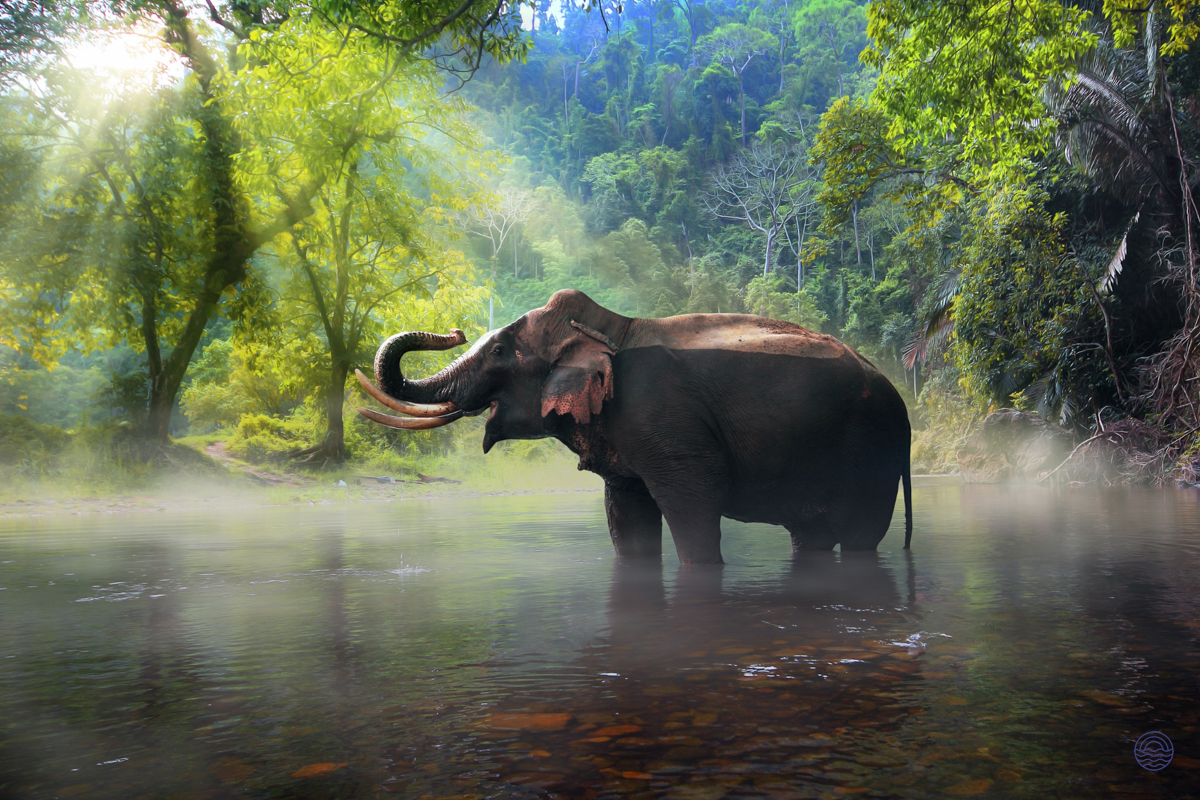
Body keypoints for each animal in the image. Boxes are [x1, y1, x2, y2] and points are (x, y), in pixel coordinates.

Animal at [356, 289, 912, 564]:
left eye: (497, 351)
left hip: (873, 449)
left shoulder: (667, 423)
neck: (611, 328)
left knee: (861, 536)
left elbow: (694, 506)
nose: (454, 330)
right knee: (811, 535)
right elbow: (625, 516)